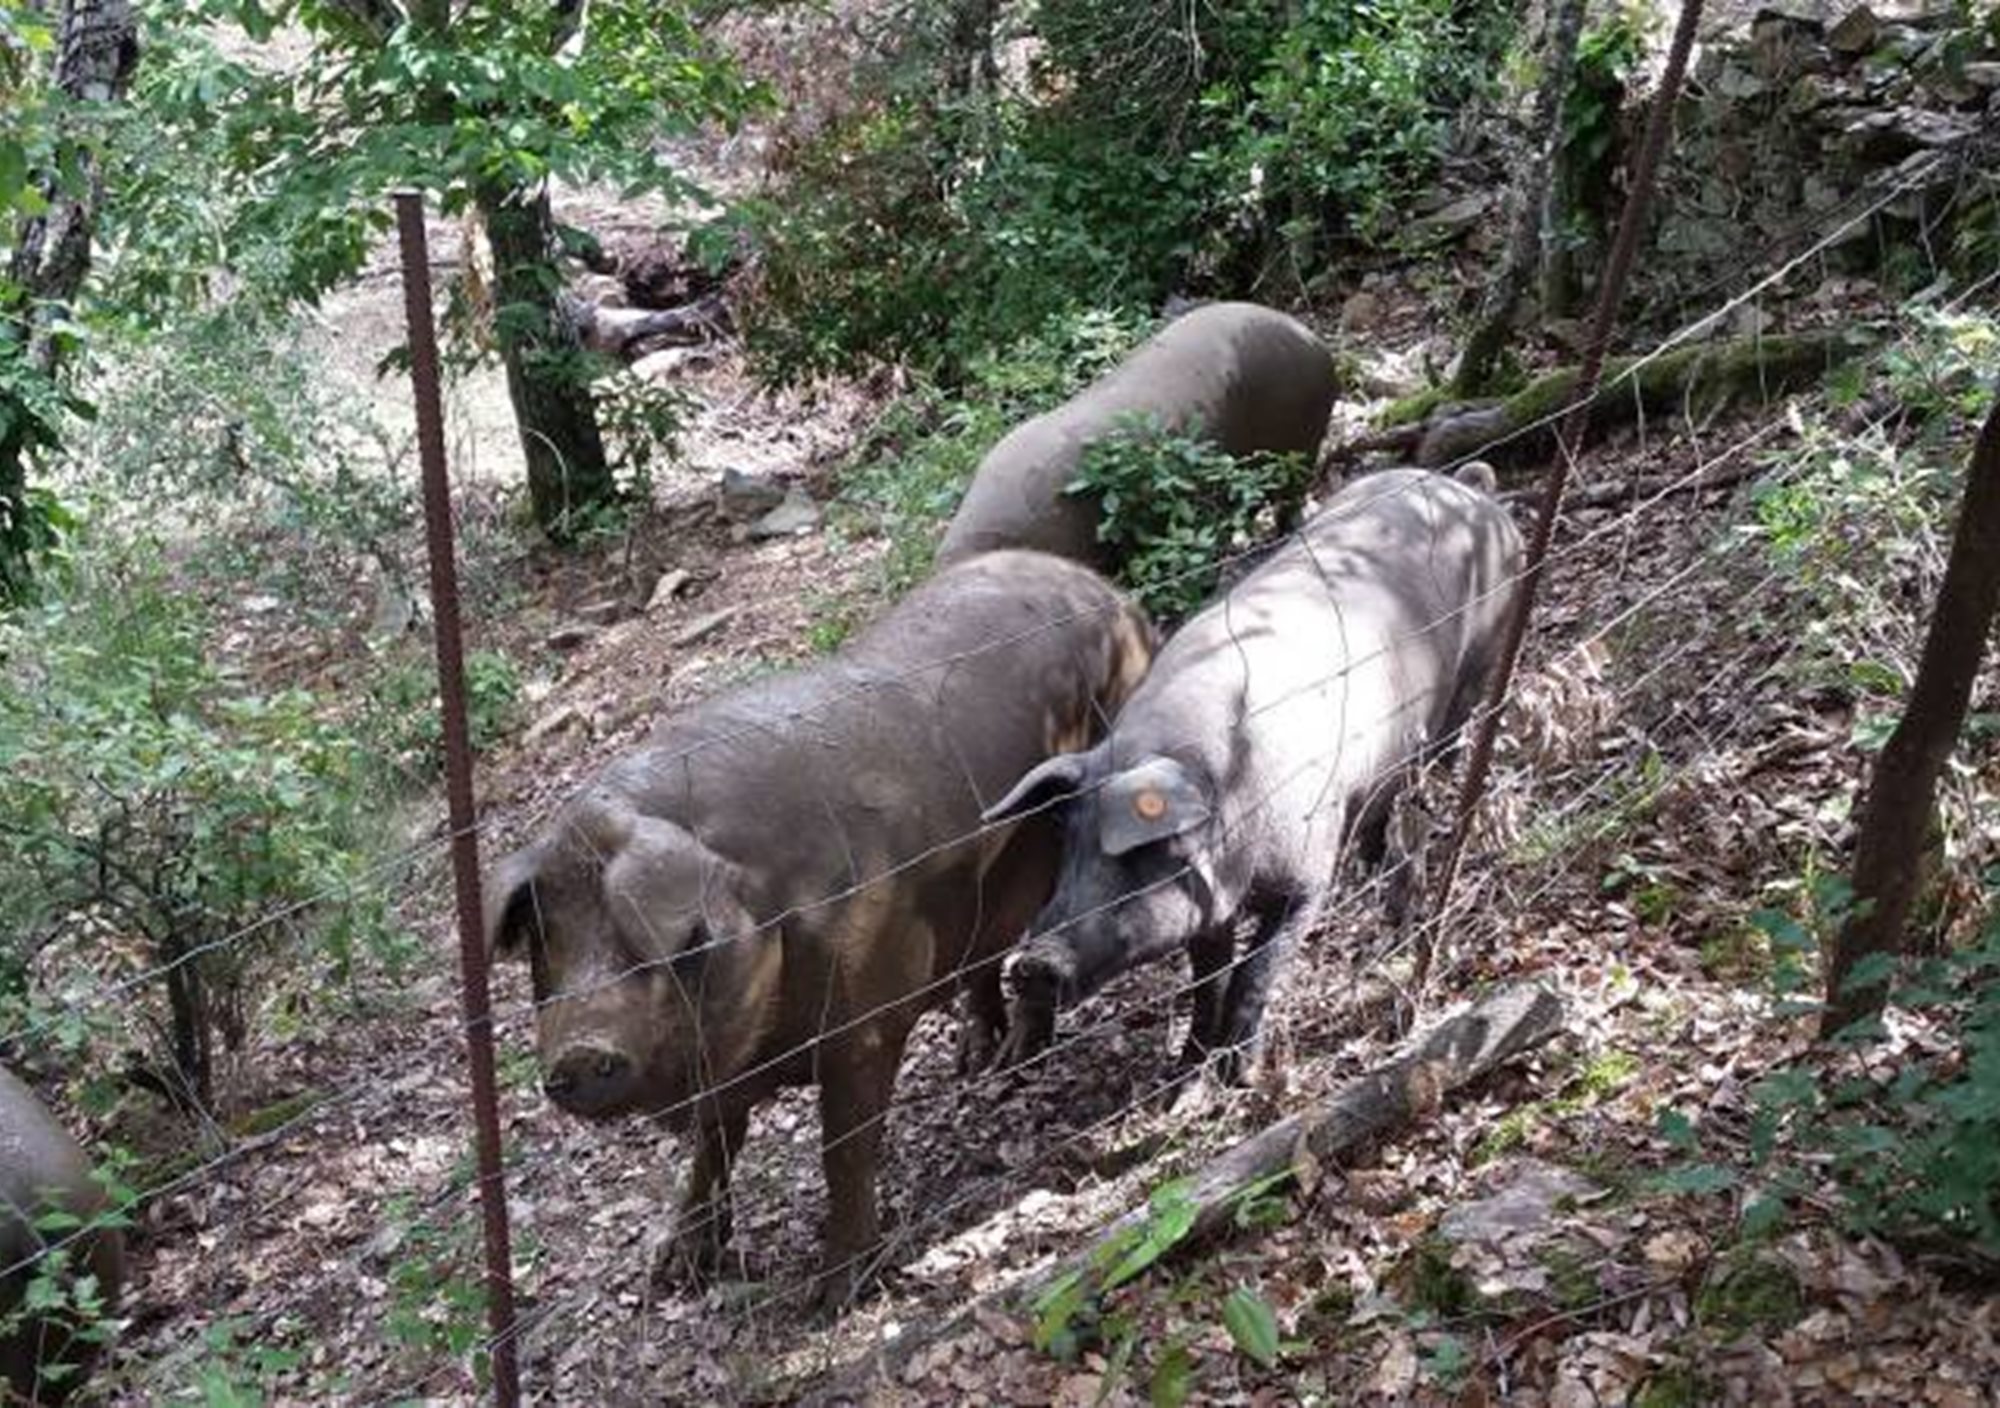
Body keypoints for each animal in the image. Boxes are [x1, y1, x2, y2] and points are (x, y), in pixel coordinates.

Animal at [480, 548, 1160, 1312]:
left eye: (680, 940)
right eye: (547, 943)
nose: (578, 1051)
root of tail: (1100, 587)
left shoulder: (864, 1022)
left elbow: (844, 1147)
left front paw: (835, 1297)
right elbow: (715, 1140)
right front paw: (672, 1272)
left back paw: (1017, 1059)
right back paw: (974, 1063)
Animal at [992, 470, 1520, 1080]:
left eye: (1144, 854)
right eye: (1068, 847)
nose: (1030, 963)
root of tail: (1465, 487)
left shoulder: (1308, 876)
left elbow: (1258, 969)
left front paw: (1239, 1074)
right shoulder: (1204, 906)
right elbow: (1208, 979)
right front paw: (1186, 1074)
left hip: (1484, 656)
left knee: (1444, 749)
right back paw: (1369, 866)